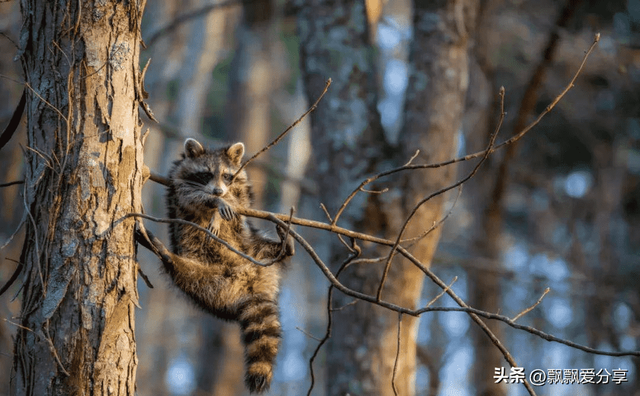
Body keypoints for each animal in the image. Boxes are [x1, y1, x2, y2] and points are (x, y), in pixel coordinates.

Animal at [141, 138, 294, 392]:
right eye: (205, 174)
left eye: (227, 176)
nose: (218, 191)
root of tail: (252, 286)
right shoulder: (178, 181)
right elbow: (189, 195)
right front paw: (215, 202)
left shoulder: (242, 185)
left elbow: (241, 200)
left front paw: (222, 207)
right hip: (208, 282)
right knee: (185, 273)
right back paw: (167, 255)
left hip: (255, 249)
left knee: (266, 247)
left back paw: (286, 247)